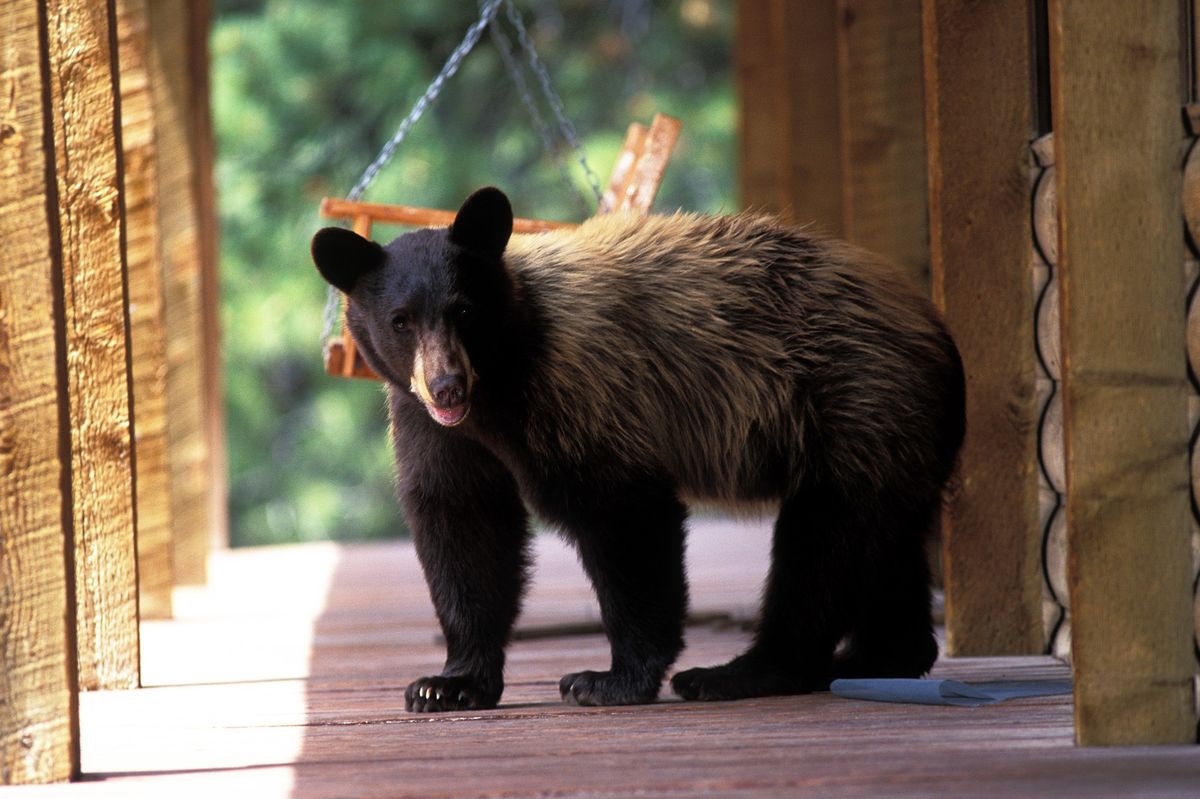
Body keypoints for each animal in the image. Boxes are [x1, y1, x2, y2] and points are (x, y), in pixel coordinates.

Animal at [309, 187, 964, 710]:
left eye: (463, 310)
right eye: (400, 319)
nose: (447, 385)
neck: (498, 387)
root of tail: (937, 329)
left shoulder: (581, 384)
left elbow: (623, 513)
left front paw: (609, 679)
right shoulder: (431, 426)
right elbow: (463, 522)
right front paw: (450, 683)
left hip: (855, 402)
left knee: (823, 548)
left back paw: (741, 671)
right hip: (888, 436)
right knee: (880, 544)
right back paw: (877, 656)